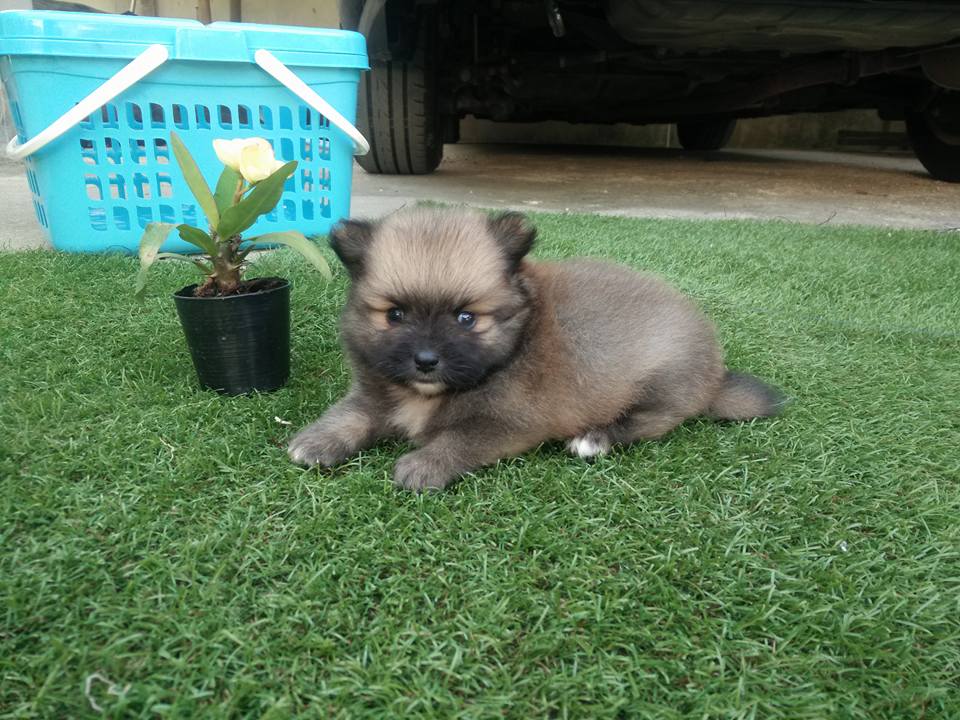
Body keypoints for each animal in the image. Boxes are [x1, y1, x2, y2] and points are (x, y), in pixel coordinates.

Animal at [288, 207, 783, 490]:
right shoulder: (374, 394)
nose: (426, 361)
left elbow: (459, 439)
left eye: (466, 318)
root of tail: (716, 374)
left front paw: (424, 465)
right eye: (395, 315)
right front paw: (316, 441)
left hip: (659, 384)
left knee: (647, 422)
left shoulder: (508, 422)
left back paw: (593, 440)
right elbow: (349, 415)